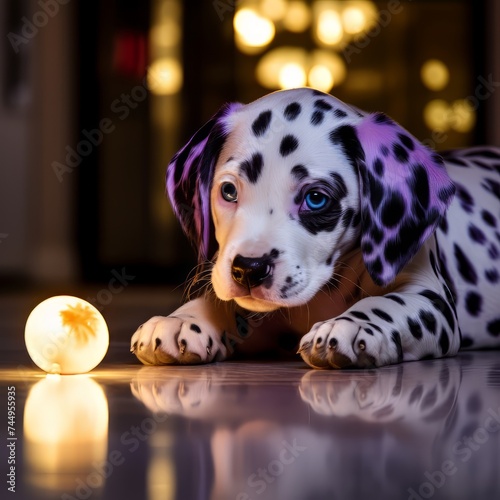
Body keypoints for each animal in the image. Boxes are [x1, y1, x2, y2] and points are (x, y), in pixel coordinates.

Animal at [130, 87, 500, 368]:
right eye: (229, 191)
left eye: (316, 199)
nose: (249, 269)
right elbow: (222, 301)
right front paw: (183, 320)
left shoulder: (431, 299)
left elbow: (389, 304)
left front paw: (352, 325)